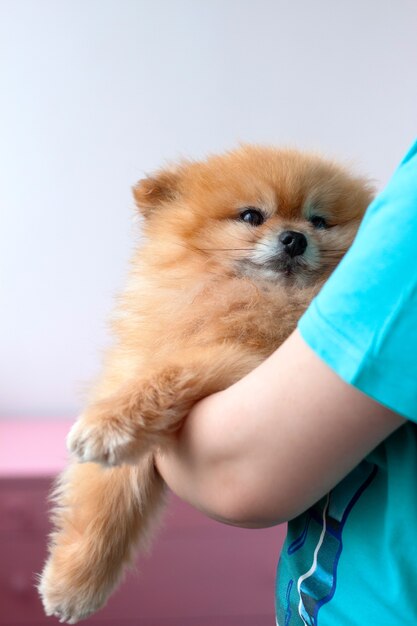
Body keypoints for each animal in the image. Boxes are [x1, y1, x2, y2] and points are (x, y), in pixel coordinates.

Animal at [37, 145, 372, 620]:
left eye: (320, 221)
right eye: (252, 216)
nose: (295, 238)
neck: (252, 297)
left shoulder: (245, 362)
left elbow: (176, 369)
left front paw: (109, 424)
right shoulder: (139, 361)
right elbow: (106, 497)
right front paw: (75, 580)